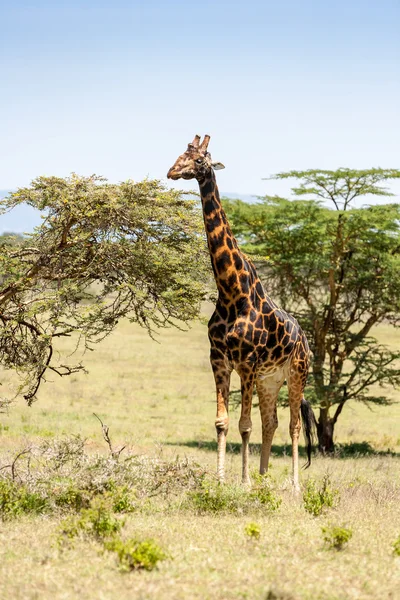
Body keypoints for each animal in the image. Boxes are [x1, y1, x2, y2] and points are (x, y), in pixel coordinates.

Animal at [166, 134, 316, 490]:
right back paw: (263, 478)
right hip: (270, 380)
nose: (172, 172)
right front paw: (223, 480)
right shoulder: (219, 358)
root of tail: (305, 340)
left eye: (200, 160)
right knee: (271, 422)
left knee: (293, 425)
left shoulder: (246, 362)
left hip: (297, 373)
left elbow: (243, 425)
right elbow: (222, 422)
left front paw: (243, 482)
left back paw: (293, 485)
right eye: (180, 154)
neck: (232, 292)